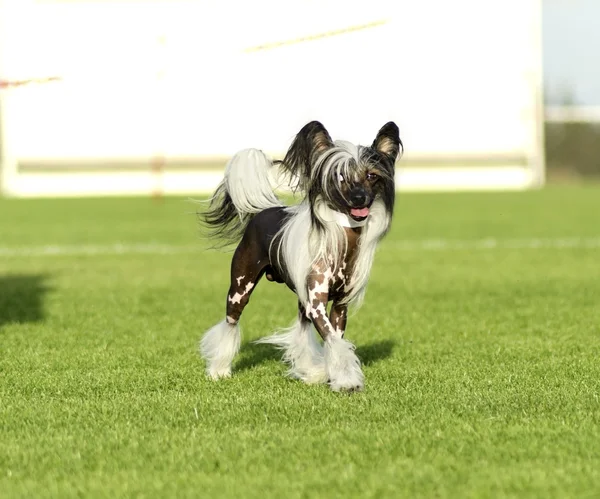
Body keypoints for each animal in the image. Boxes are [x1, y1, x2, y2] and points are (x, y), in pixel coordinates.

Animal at [200, 120, 404, 390]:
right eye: (340, 175)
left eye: (372, 176)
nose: (360, 198)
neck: (343, 243)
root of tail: (263, 210)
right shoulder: (317, 303)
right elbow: (334, 341)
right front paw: (347, 381)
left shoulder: (339, 305)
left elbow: (335, 340)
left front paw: (329, 375)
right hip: (240, 288)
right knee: (230, 323)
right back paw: (219, 370)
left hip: (300, 298)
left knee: (302, 330)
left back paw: (308, 370)